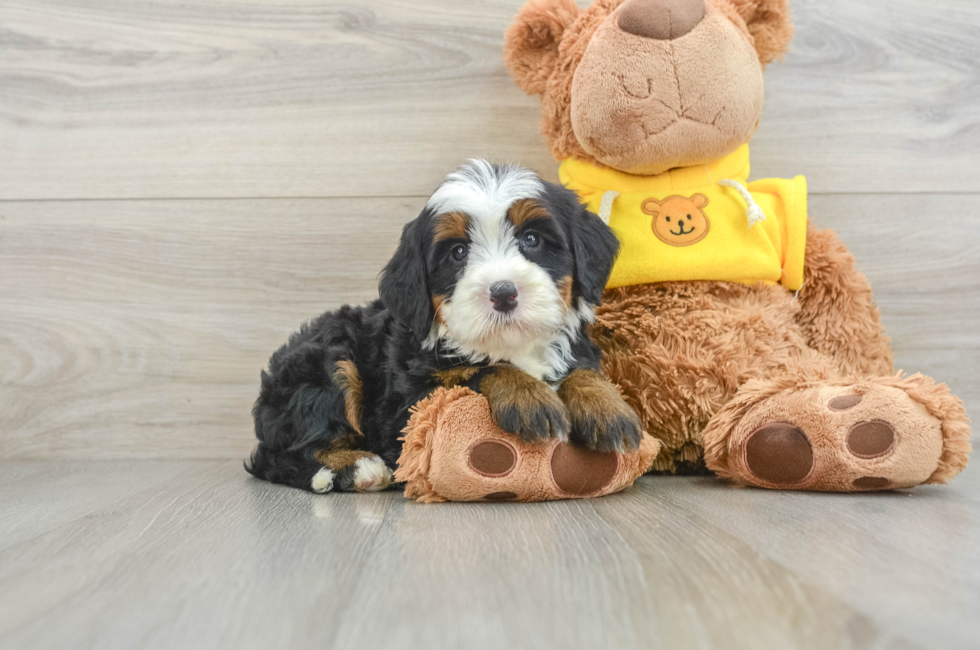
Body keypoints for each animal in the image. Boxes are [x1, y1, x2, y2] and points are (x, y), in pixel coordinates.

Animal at [245, 161, 644, 492]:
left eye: (531, 239)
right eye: (458, 253)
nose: (503, 292)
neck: (511, 344)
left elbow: (583, 370)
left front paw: (607, 406)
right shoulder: (404, 411)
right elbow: (478, 371)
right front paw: (528, 395)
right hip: (328, 364)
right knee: (283, 453)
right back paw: (357, 468)